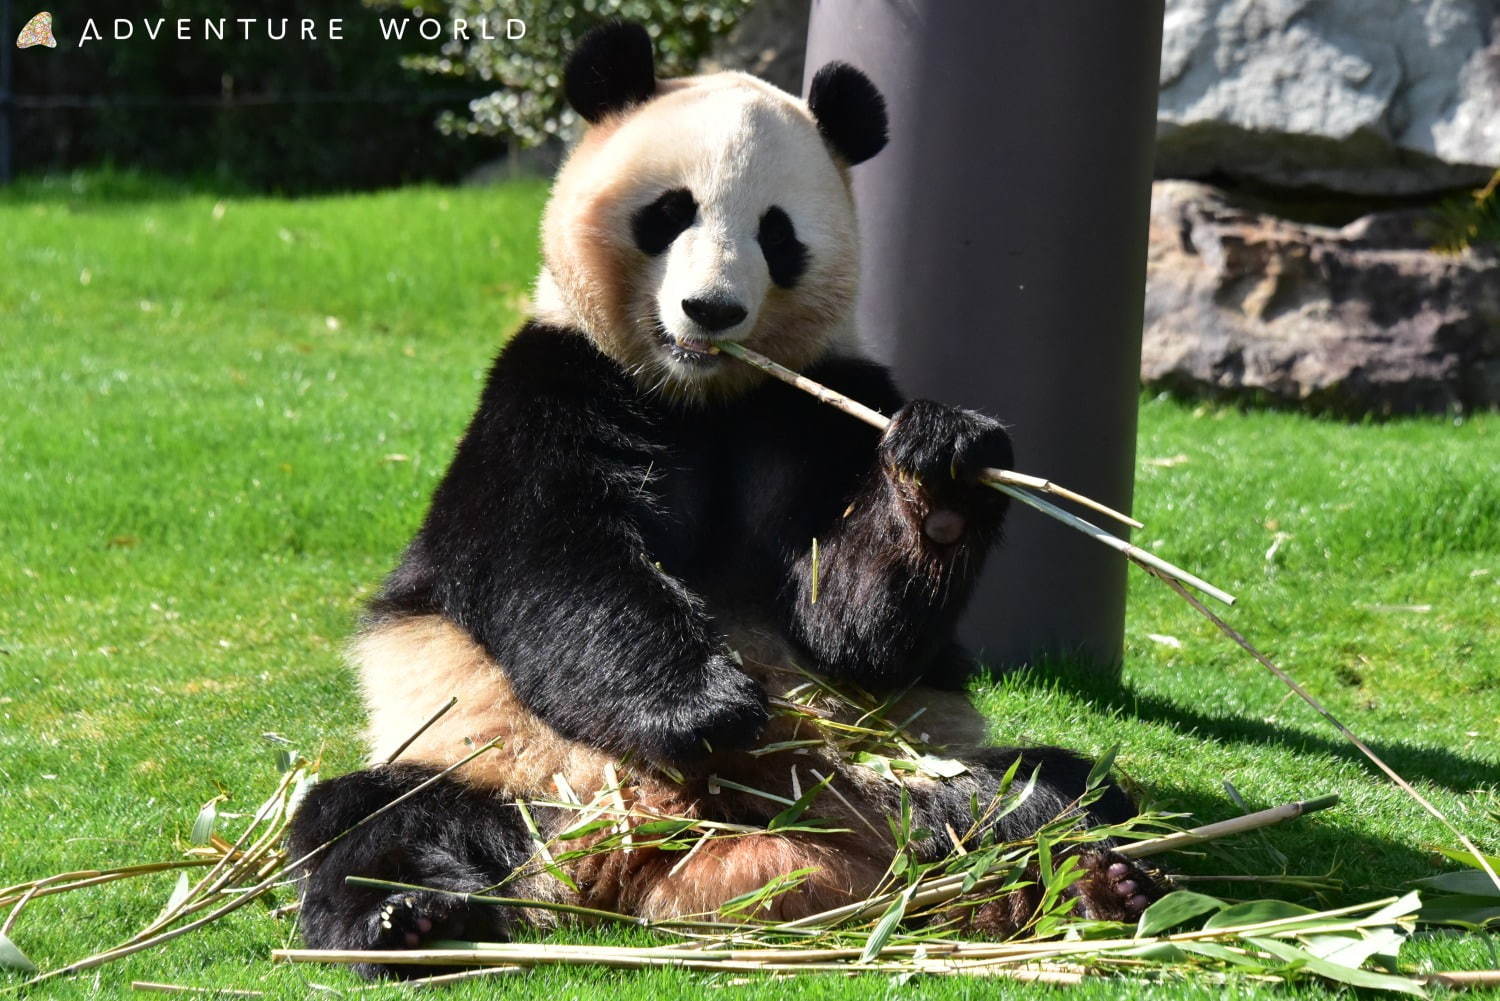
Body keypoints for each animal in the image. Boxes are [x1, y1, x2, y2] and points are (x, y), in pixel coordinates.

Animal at [289, 21, 1158, 978]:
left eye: (777, 234)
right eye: (669, 212)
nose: (710, 309)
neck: (700, 396)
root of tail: (652, 859)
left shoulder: (821, 404)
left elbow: (851, 624)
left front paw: (944, 471)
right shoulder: (550, 387)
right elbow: (552, 560)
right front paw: (709, 708)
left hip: (901, 766)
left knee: (1044, 789)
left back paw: (1092, 882)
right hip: (499, 765)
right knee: (373, 818)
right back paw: (405, 919)